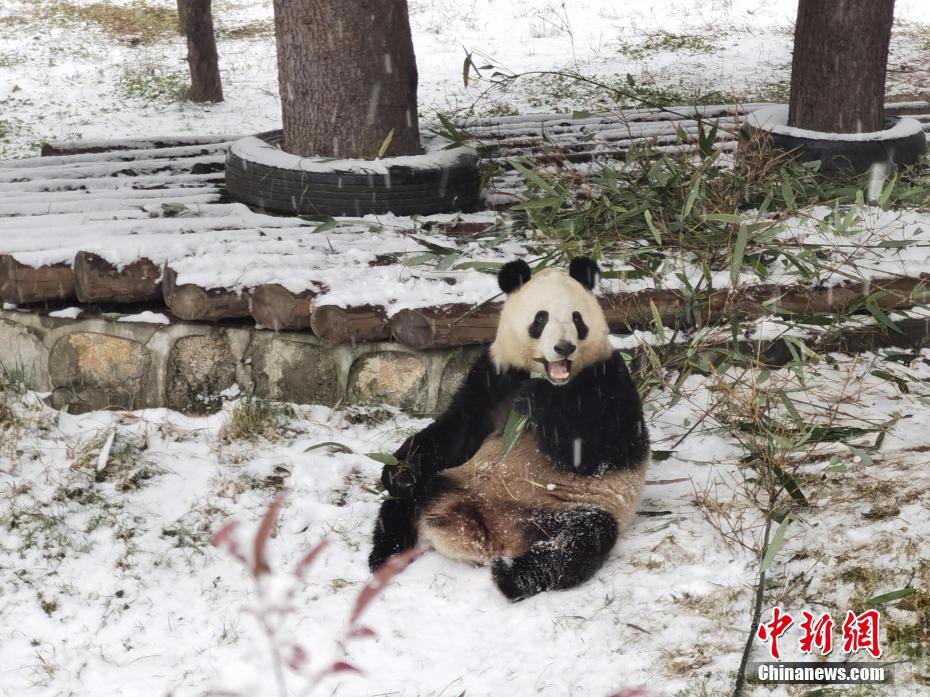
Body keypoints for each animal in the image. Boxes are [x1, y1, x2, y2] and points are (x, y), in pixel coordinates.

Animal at [368, 256, 650, 600]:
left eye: (577, 318)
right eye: (540, 319)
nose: (564, 347)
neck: (550, 377)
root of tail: (491, 535)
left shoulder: (607, 378)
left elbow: (602, 449)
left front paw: (537, 400)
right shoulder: (494, 376)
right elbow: (454, 430)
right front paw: (396, 469)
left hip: (565, 510)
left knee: (579, 540)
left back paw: (510, 575)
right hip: (451, 482)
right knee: (405, 501)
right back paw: (385, 554)